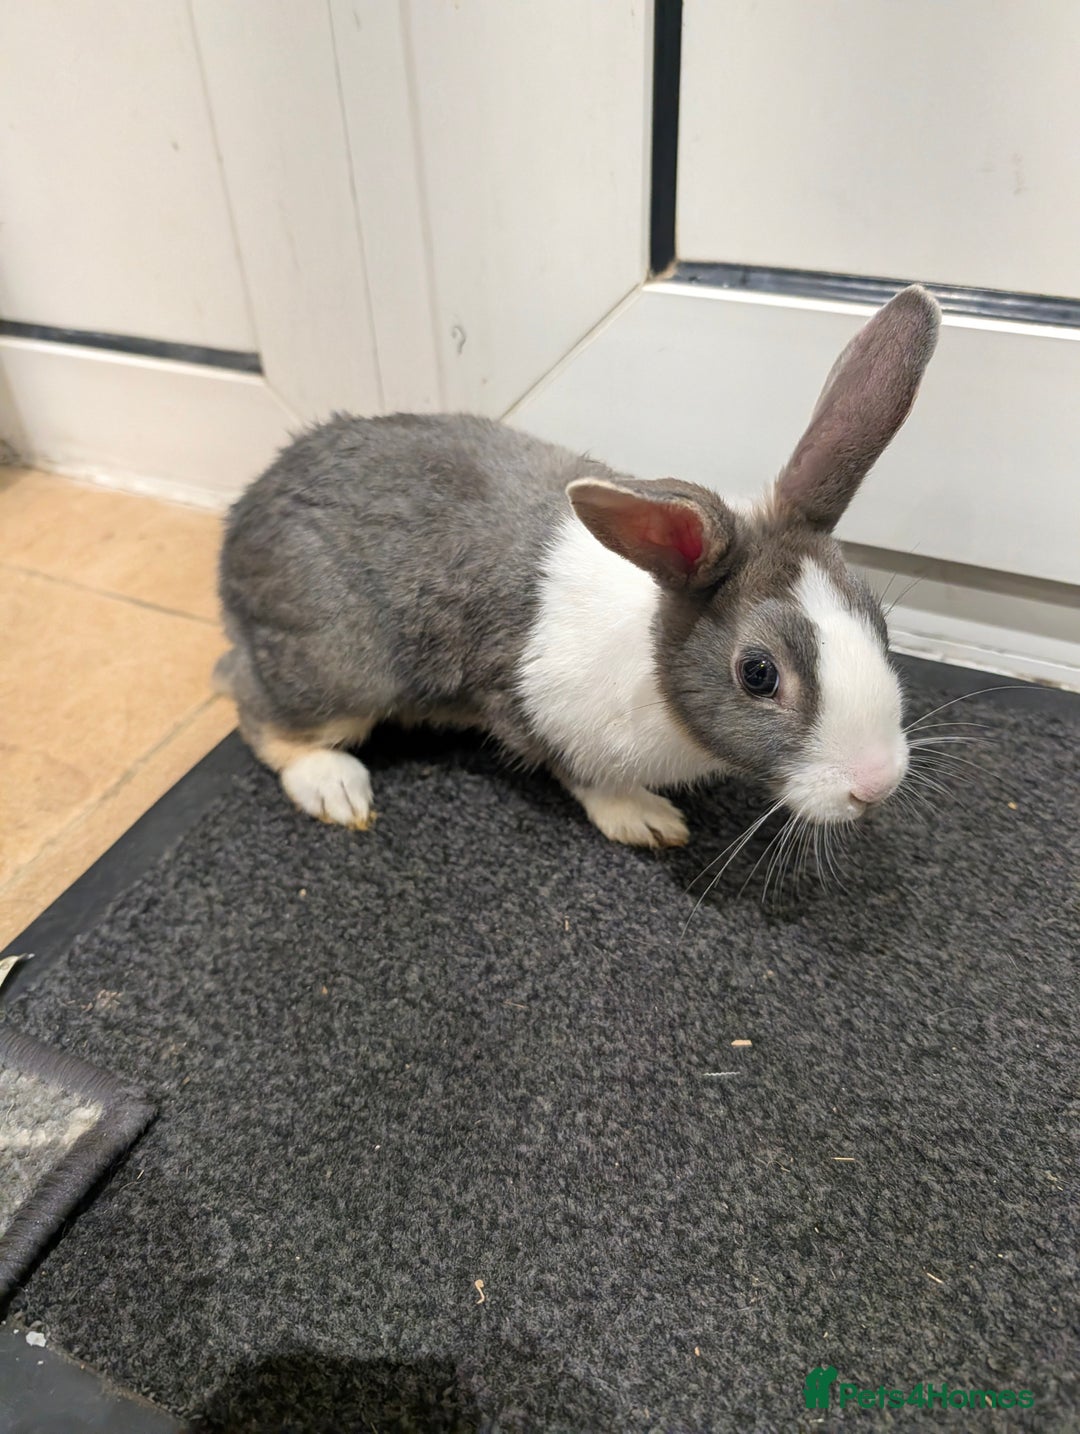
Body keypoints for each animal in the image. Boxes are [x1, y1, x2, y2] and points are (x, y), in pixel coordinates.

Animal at [216, 284, 940, 848]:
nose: (877, 784)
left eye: (878, 622)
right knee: (259, 711)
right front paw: (645, 819)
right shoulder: (532, 710)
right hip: (339, 667)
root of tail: (244, 517)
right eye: (758, 675)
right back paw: (335, 788)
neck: (653, 660)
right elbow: (587, 778)